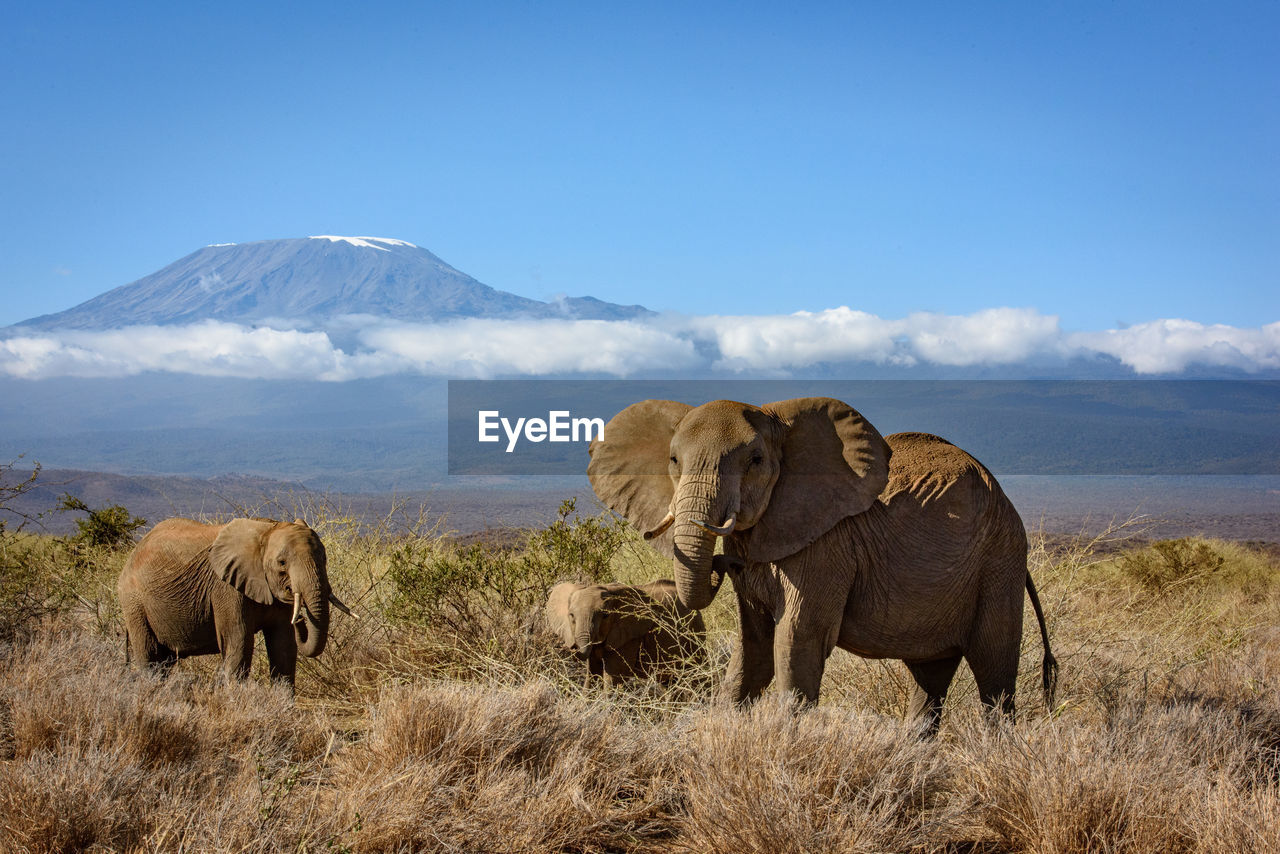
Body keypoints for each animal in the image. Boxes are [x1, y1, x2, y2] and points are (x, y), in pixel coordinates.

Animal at [116, 514, 355, 686]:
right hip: (133, 602)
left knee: (165, 661)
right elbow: (238, 642)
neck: (266, 529)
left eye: (324, 558)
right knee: (150, 657)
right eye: (282, 563)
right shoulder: (226, 589)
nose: (300, 620)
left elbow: (283, 646)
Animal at [547, 573, 716, 686]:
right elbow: (592, 673)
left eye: (606, 616)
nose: (570, 647)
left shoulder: (629, 637)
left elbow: (614, 677)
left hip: (695, 634)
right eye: (571, 616)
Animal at [588, 396, 1049, 732]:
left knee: (994, 673)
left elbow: (797, 639)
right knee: (931, 676)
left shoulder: (827, 546)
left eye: (755, 461)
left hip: (999, 562)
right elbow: (754, 646)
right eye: (672, 461)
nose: (724, 561)